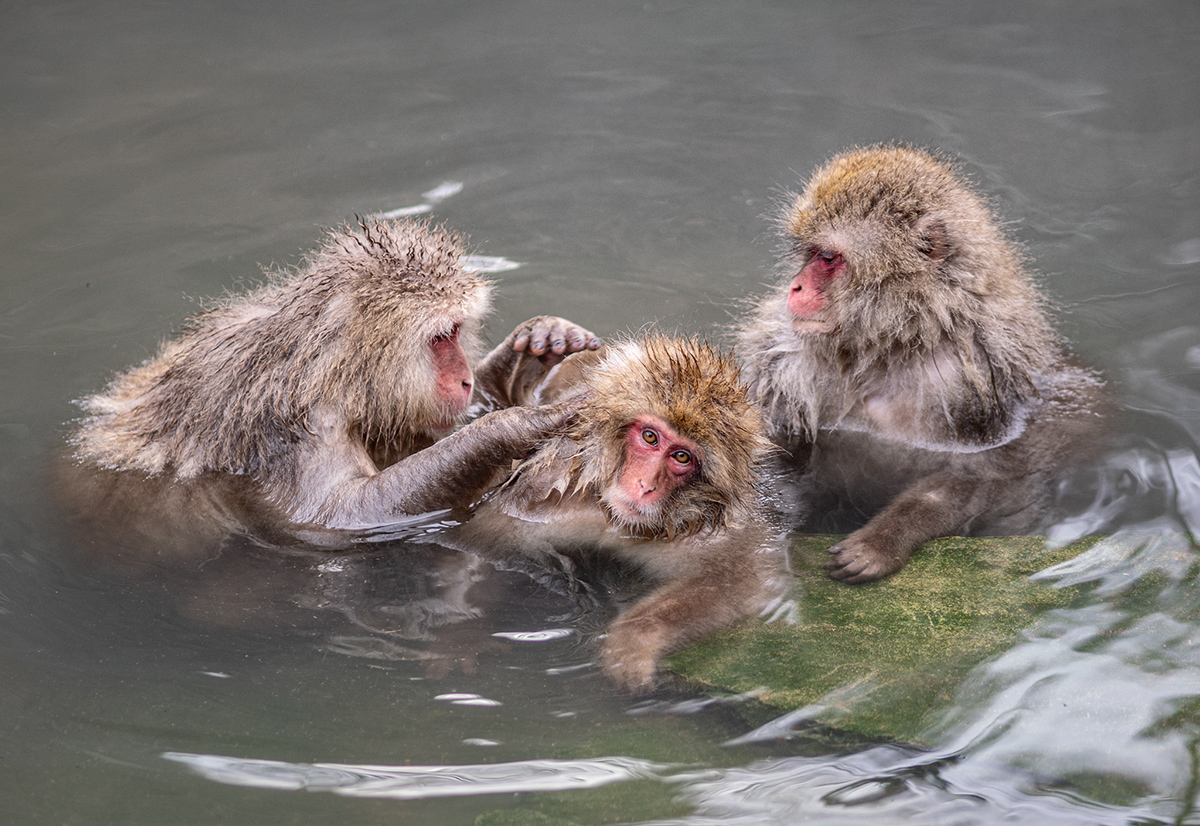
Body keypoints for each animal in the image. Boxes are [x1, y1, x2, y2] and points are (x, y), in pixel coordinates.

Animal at [66, 217, 600, 535]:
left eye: (456, 333)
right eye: (439, 338)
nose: (465, 380)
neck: (332, 370)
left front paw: (532, 349)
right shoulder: (302, 427)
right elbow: (342, 516)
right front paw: (516, 425)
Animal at [431, 334, 791, 692]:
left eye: (682, 457)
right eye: (650, 436)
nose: (645, 485)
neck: (611, 518)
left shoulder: (706, 532)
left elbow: (739, 581)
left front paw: (633, 641)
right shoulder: (539, 497)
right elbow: (486, 544)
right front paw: (460, 637)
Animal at [734, 145, 1107, 584]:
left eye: (827, 258)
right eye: (809, 255)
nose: (795, 287)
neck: (888, 349)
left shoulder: (976, 381)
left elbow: (989, 476)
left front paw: (882, 541)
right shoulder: (779, 360)